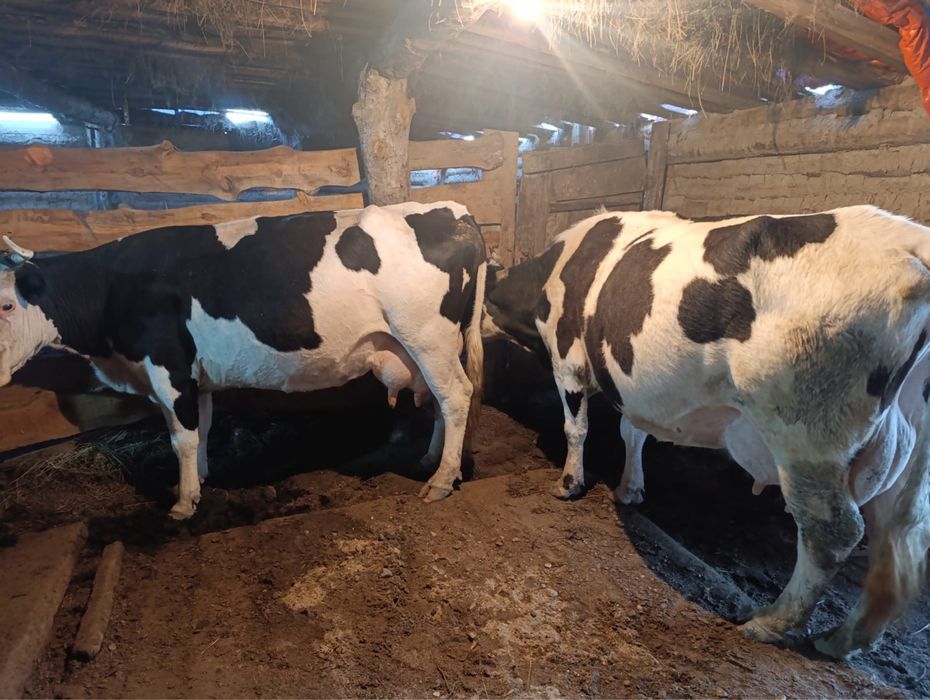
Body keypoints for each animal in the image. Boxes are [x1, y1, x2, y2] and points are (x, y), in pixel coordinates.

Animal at [0, 201, 487, 519]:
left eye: (6, 305)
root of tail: (453, 210)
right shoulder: (195, 375)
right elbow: (201, 428)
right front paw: (198, 481)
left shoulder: (168, 365)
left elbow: (180, 436)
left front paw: (182, 503)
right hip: (429, 346)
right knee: (441, 400)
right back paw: (432, 461)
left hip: (428, 336)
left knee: (456, 396)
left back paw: (441, 480)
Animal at [485, 205, 930, 658]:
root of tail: (909, 240)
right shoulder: (637, 390)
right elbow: (633, 432)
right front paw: (630, 489)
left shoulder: (569, 359)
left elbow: (577, 427)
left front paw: (569, 483)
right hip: (911, 452)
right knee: (901, 540)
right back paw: (844, 639)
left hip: (806, 434)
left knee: (833, 531)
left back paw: (770, 623)